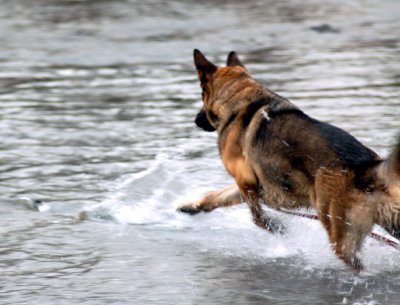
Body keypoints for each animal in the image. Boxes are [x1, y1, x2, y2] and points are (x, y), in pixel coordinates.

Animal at [179, 50, 400, 270]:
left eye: (201, 95)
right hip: (390, 223)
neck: (240, 99)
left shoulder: (246, 182)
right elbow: (216, 196)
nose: (196, 121)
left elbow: (257, 218)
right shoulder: (248, 186)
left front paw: (277, 228)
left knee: (355, 264)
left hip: (339, 236)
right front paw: (191, 206)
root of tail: (368, 168)